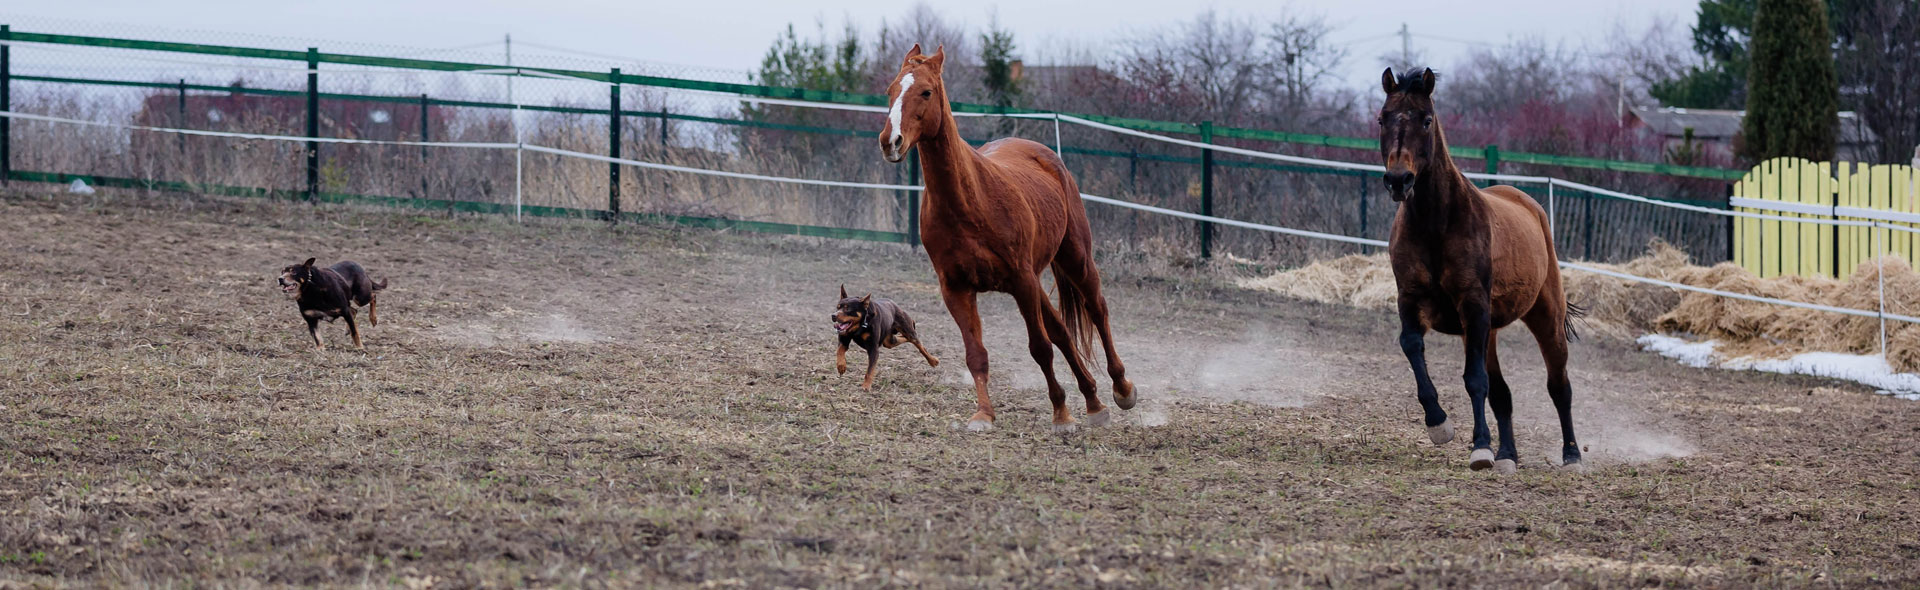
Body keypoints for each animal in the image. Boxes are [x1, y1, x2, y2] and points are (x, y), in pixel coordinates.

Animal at [879, 46, 1128, 432]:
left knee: (1097, 310)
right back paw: (1094, 402)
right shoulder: (956, 289)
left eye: (926, 92)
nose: (890, 142)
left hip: (1075, 258)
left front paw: (1060, 413)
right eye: (891, 90)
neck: (969, 202)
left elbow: (1039, 347)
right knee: (1062, 330)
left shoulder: (1021, 280)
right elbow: (976, 354)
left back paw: (1122, 389)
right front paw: (984, 414)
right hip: (1037, 278)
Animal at [1382, 69, 1589, 474]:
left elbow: (1475, 380)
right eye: (1383, 118)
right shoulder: (1412, 300)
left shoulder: (1473, 305)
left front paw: (1480, 448)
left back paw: (1571, 454)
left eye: (1426, 120)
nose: (1399, 180)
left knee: (1559, 385)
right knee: (1503, 394)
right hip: (1487, 330)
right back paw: (1508, 454)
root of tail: (1530, 205)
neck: (1436, 224)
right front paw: (1439, 425)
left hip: (1544, 316)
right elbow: (1412, 346)